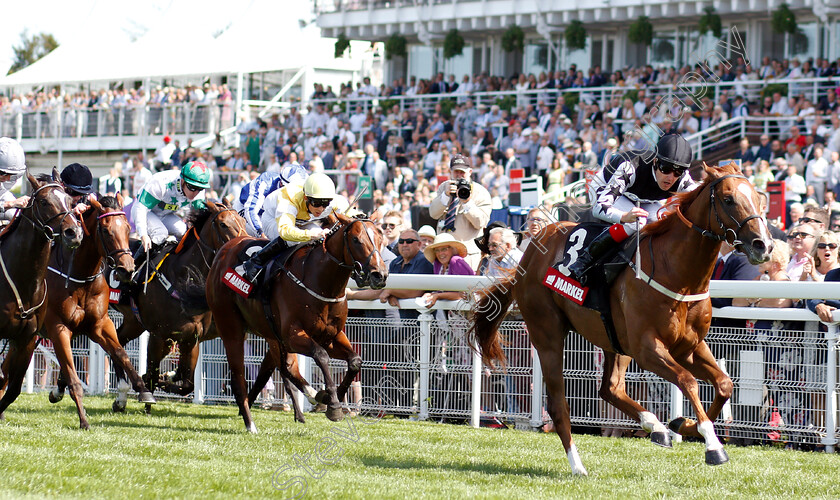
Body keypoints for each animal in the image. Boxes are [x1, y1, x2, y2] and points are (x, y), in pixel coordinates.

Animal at [44, 193, 156, 428]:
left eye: (127, 227)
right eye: (105, 230)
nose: (127, 269)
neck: (80, 276)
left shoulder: (99, 324)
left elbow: (121, 353)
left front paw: (144, 391)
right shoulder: (58, 327)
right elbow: (72, 371)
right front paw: (83, 419)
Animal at [111, 201, 244, 412]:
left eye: (243, 221)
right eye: (223, 224)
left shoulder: (192, 338)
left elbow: (186, 383)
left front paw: (163, 380)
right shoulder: (159, 336)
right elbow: (153, 375)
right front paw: (148, 397)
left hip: (134, 322)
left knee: (118, 340)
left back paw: (121, 398)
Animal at [197, 213, 388, 432]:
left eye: (381, 238)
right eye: (356, 240)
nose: (380, 275)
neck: (320, 282)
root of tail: (225, 249)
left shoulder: (331, 335)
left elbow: (355, 361)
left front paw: (334, 396)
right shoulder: (292, 336)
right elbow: (321, 356)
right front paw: (333, 405)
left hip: (270, 333)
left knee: (284, 368)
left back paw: (311, 398)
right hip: (231, 327)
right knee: (239, 377)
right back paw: (250, 423)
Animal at [466, 162, 776, 474]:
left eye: (760, 199)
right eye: (728, 199)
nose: (763, 245)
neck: (679, 275)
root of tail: (529, 254)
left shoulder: (688, 347)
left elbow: (724, 384)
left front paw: (683, 424)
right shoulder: (648, 349)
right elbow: (687, 381)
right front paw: (712, 446)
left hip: (613, 341)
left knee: (610, 388)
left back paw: (655, 427)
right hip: (547, 333)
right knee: (559, 405)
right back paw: (578, 466)